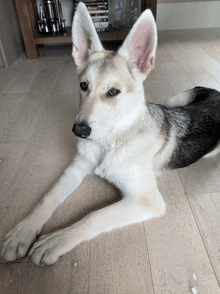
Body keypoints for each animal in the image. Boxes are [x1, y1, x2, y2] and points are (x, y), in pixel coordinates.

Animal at [1, 1, 220, 266]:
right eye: (83, 85)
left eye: (113, 92)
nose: (79, 131)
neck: (108, 143)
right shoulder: (76, 168)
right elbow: (48, 198)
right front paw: (22, 232)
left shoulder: (147, 201)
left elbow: (94, 215)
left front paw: (57, 240)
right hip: (175, 100)